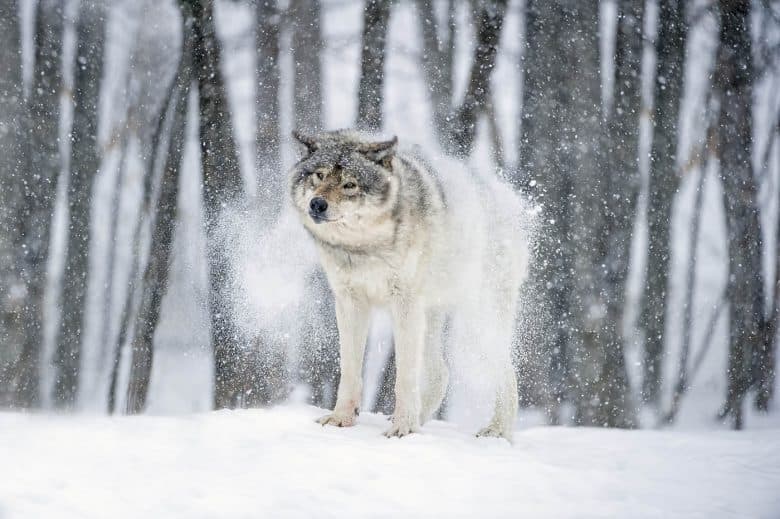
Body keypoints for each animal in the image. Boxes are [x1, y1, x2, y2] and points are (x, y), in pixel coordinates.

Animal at [288, 129, 532, 438]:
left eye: (350, 184)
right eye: (319, 175)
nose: (317, 204)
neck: (364, 247)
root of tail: (505, 198)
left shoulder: (404, 303)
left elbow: (404, 376)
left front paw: (403, 429)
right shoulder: (349, 302)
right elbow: (350, 369)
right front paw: (341, 418)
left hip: (476, 323)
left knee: (508, 373)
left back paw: (497, 431)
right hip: (432, 317)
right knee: (441, 373)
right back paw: (420, 419)